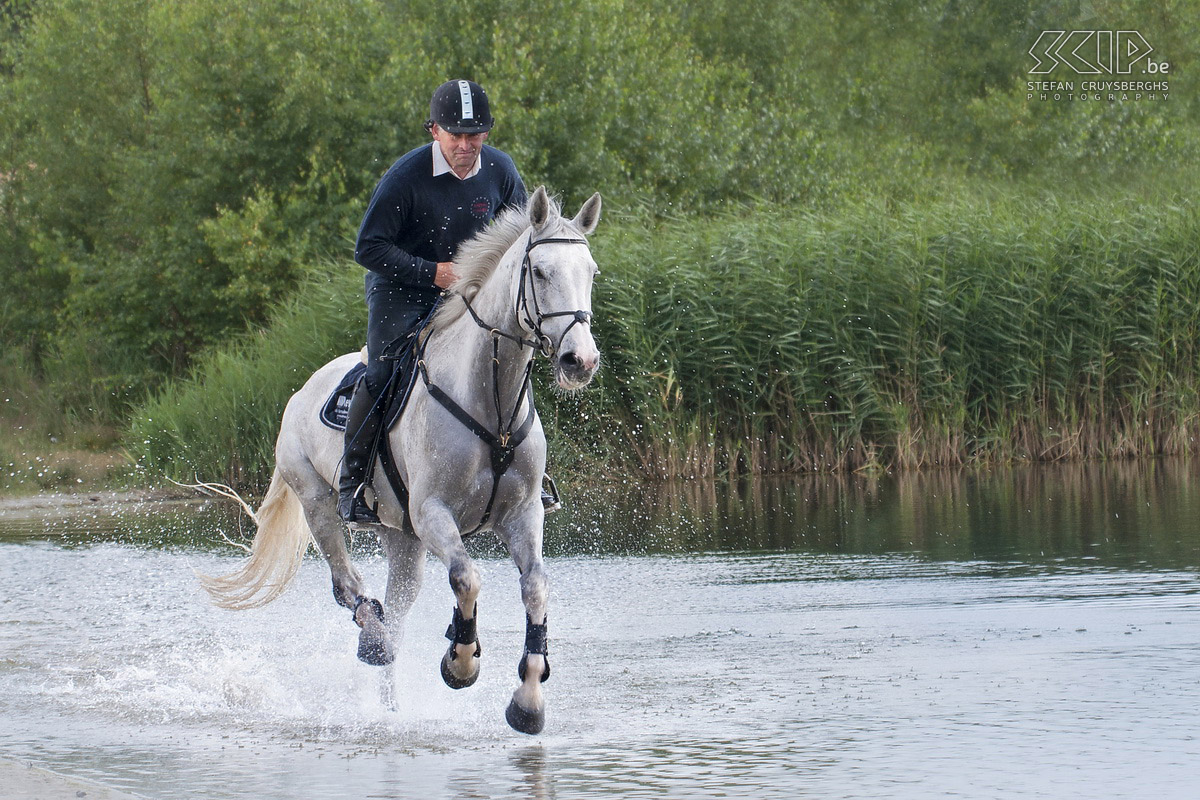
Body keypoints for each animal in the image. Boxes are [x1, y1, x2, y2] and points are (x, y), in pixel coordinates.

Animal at [201, 184, 604, 734]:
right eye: (540, 272)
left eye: (591, 272)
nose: (579, 361)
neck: (491, 400)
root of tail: (300, 392)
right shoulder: (434, 512)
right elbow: (467, 577)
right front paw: (461, 663)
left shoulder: (522, 516)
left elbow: (536, 588)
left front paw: (528, 702)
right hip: (319, 501)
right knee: (347, 585)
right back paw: (373, 640)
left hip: (403, 537)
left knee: (398, 611)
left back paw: (391, 703)